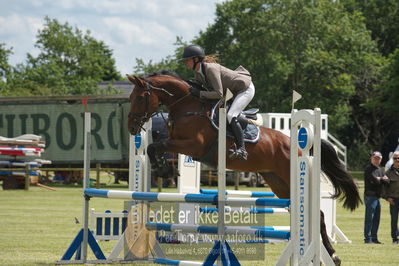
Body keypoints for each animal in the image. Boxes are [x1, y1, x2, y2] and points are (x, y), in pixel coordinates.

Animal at [127, 71, 362, 264]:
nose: (131, 128)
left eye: (140, 97)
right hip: (278, 182)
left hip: (289, 176)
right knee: (313, 213)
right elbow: (154, 147)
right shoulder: (178, 143)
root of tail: (295, 143)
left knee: (319, 215)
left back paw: (332, 255)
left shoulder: (193, 146)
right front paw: (162, 169)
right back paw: (326, 256)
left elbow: (157, 145)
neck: (187, 107)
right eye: (130, 99)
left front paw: (164, 170)